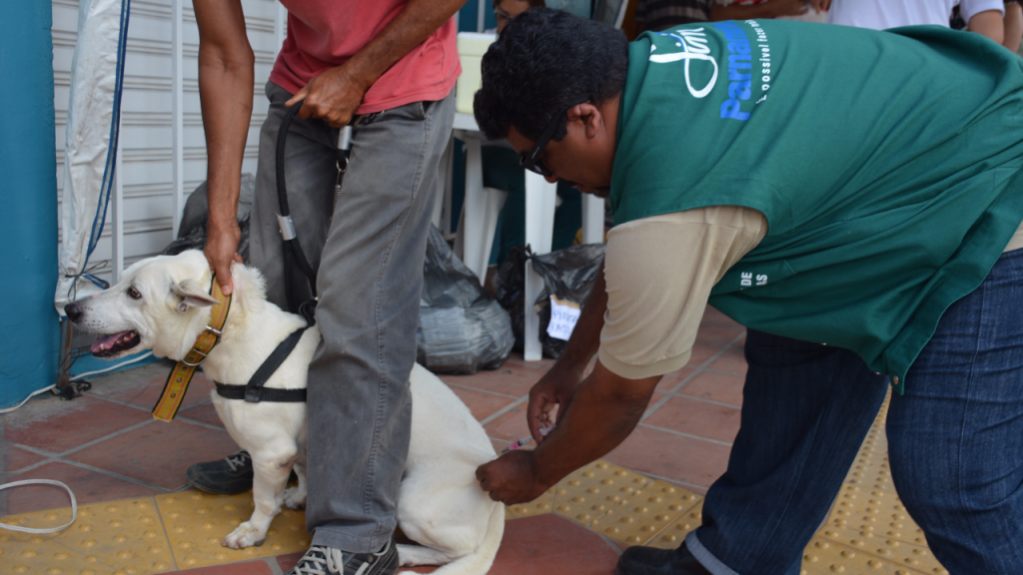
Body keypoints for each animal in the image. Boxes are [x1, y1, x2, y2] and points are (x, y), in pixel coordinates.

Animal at [65, 249, 505, 572]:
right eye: (120, 280)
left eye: (135, 294)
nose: (70, 310)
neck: (234, 335)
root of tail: (495, 495)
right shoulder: (299, 446)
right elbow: (305, 472)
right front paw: (297, 497)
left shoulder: (270, 453)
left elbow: (262, 499)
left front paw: (253, 532)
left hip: (411, 500)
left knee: (458, 551)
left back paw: (408, 554)